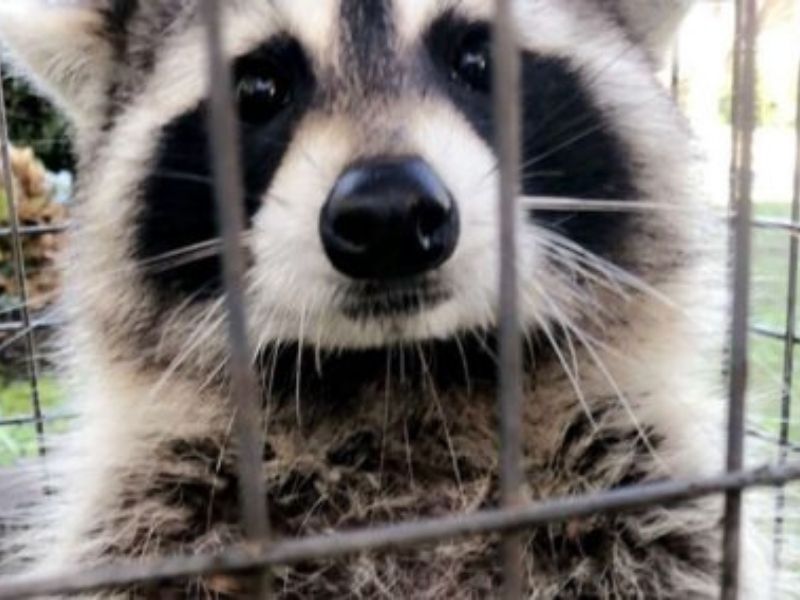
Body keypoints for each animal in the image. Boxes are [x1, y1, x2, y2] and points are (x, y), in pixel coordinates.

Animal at [0, 0, 771, 597]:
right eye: (259, 88)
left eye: (479, 60)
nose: (391, 214)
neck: (402, 377)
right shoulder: (150, 517)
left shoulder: (652, 498)